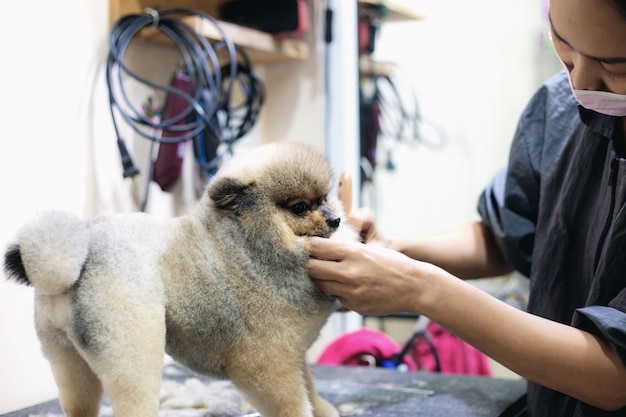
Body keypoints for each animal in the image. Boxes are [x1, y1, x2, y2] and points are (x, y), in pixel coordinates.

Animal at [3, 142, 356, 416]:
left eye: (325, 198)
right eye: (300, 207)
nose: (336, 219)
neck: (246, 245)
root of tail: (75, 256)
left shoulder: (295, 354)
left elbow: (311, 390)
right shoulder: (268, 364)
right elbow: (294, 404)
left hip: (66, 355)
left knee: (77, 401)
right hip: (130, 346)